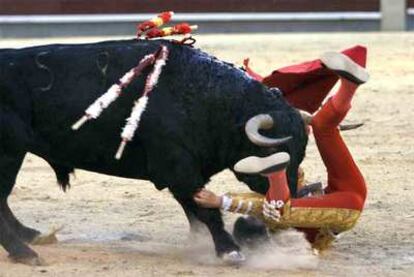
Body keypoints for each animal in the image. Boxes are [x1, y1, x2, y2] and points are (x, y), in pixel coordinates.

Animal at [0, 38, 308, 260]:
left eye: (301, 154)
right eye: (270, 154)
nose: (287, 202)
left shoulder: (185, 171)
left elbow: (194, 211)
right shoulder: (178, 167)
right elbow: (203, 210)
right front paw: (229, 250)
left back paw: (31, 236)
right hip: (10, 153)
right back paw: (25, 252)